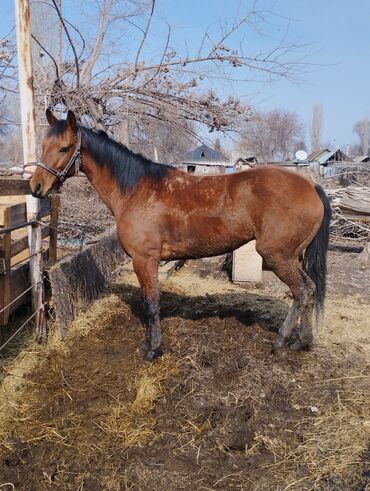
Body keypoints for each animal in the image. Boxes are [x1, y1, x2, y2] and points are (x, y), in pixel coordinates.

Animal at [28, 112, 330, 366]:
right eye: (43, 145)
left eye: (64, 148)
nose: (36, 187)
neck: (136, 190)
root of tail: (311, 186)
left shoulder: (145, 260)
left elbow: (151, 304)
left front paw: (153, 349)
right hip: (294, 256)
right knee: (310, 289)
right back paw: (302, 341)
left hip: (277, 256)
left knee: (302, 291)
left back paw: (280, 342)